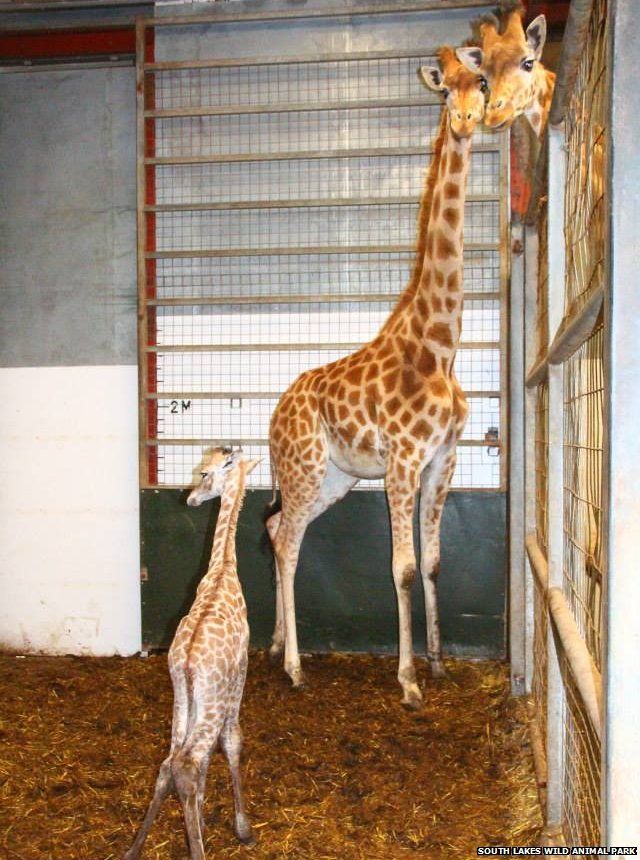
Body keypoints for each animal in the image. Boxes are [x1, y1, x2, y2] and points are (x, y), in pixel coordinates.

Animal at [125, 450, 260, 860]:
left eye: (204, 473)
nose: (191, 499)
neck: (223, 569)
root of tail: (186, 662)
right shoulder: (242, 670)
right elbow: (233, 739)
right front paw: (242, 828)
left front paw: (199, 814)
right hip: (211, 699)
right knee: (188, 761)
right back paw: (199, 849)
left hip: (181, 697)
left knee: (171, 762)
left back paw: (135, 848)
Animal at [264, 47, 484, 708]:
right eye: (446, 91)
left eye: (481, 82)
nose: (466, 120)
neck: (439, 347)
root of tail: (275, 414)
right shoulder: (405, 460)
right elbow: (402, 568)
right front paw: (408, 682)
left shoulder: (443, 459)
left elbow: (433, 563)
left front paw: (437, 663)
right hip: (306, 469)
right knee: (286, 540)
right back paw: (295, 667)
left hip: (333, 478)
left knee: (276, 527)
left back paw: (274, 647)